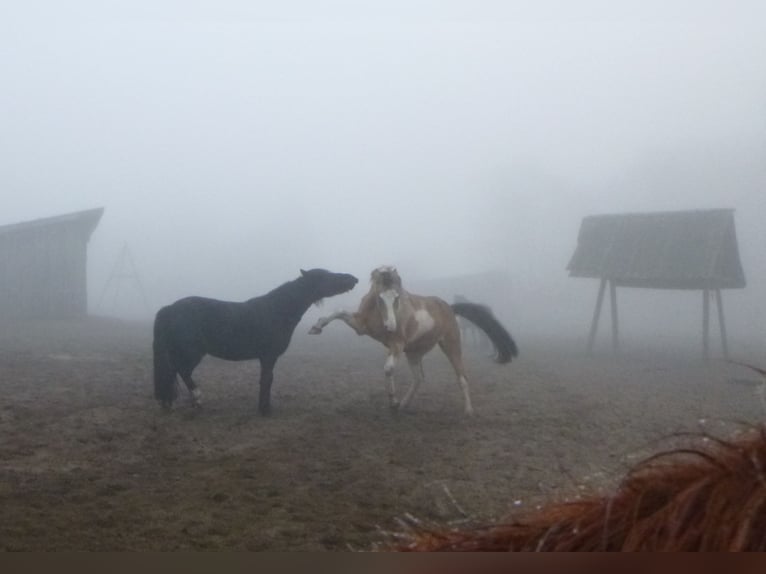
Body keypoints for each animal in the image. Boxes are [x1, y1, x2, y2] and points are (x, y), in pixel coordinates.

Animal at [156, 268, 364, 416]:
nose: (353, 279)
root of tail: (171, 308)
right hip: (191, 353)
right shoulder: (268, 356)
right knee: (181, 371)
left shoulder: (267, 357)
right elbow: (266, 380)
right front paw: (265, 410)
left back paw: (171, 404)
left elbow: (267, 380)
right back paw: (196, 399)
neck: (276, 310)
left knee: (173, 373)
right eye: (324, 276)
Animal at [308, 268, 520, 416]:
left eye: (397, 297)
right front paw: (316, 327)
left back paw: (468, 411)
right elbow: (339, 311)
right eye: (379, 297)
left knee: (462, 377)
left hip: (450, 346)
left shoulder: (397, 345)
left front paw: (392, 402)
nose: (391, 326)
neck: (380, 316)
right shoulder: (361, 327)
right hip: (414, 352)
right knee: (419, 378)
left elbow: (388, 369)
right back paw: (404, 405)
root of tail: (450, 308)